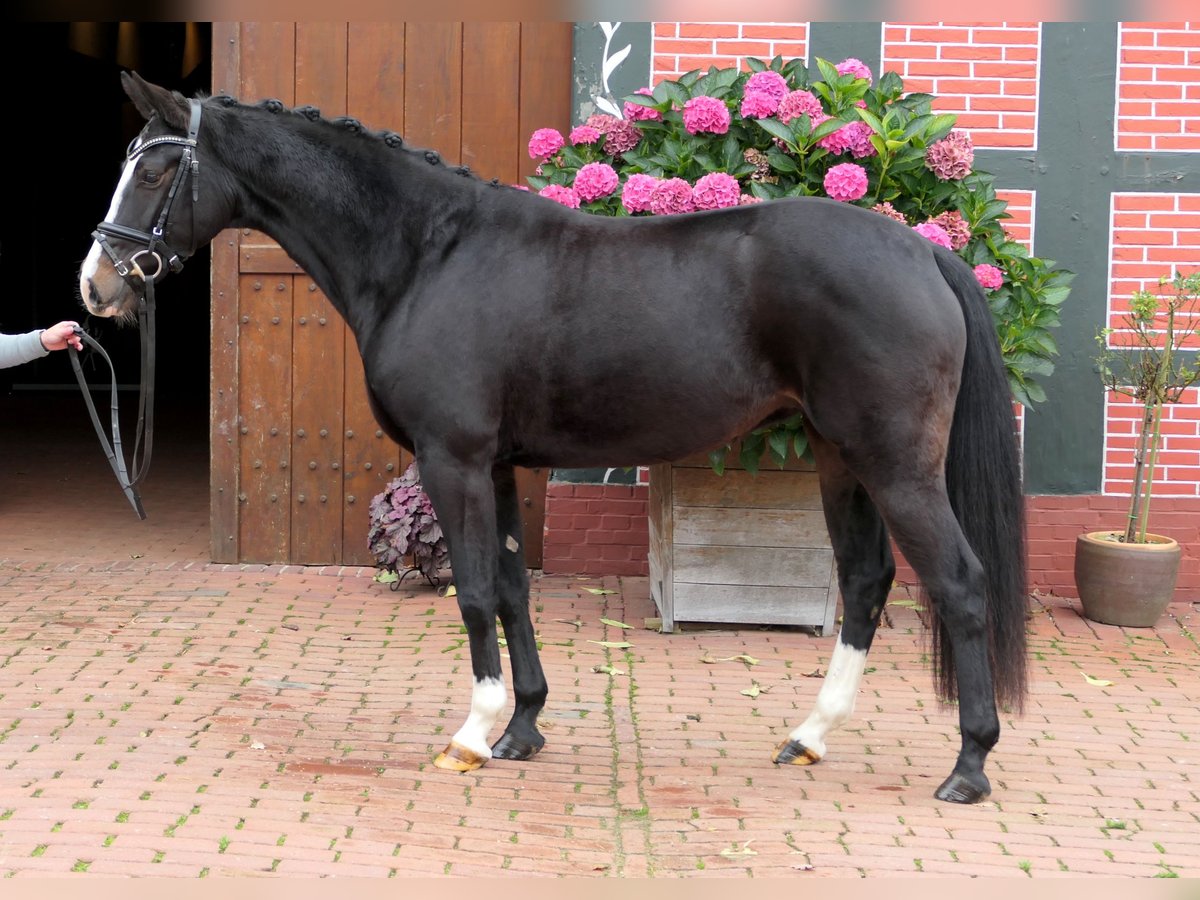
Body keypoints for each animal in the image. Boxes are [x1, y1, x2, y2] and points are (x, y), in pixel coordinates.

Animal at [79, 70, 1027, 801]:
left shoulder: (453, 460)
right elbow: (509, 587)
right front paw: (523, 727)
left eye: (157, 170)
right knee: (866, 583)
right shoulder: (496, 467)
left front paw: (472, 733)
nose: (96, 286)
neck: (429, 255)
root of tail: (923, 251)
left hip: (895, 466)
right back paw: (810, 736)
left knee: (960, 583)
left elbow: (471, 592)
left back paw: (969, 765)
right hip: (840, 459)